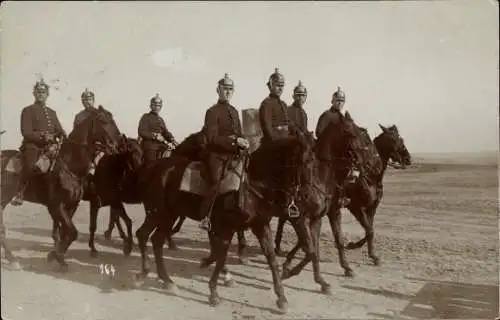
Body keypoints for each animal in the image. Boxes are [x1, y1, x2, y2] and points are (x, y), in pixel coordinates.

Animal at [0, 107, 123, 270]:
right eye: (103, 120)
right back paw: (12, 259)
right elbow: (71, 232)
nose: (117, 144)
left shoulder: (71, 205)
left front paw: (55, 255)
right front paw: (58, 256)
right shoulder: (56, 206)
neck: (69, 166)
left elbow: (66, 232)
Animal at [276, 120, 412, 278]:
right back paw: (279, 249)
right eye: (395, 139)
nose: (408, 159)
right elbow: (368, 231)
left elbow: (369, 230)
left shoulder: (371, 208)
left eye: (400, 138)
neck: (371, 176)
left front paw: (367, 253)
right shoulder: (355, 207)